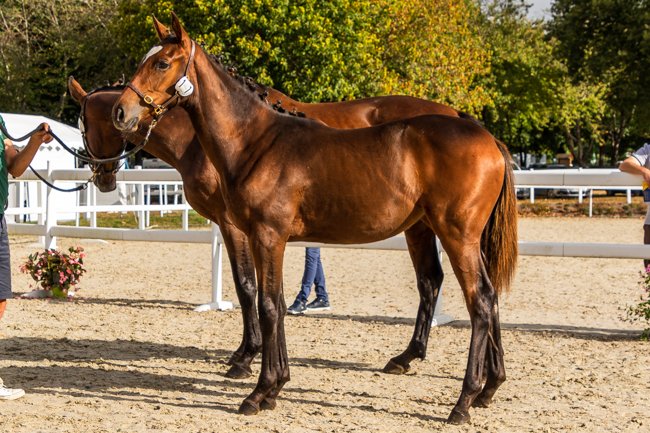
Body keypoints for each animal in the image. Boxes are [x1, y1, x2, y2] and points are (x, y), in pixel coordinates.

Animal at [69, 61, 475, 377]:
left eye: (84, 126)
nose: (102, 178)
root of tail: (457, 118)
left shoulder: (235, 225)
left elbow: (247, 285)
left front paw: (247, 355)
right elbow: (254, 288)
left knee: (433, 282)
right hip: (419, 225)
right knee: (430, 281)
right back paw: (408, 356)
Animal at [112, 14, 518, 424]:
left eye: (162, 63)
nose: (121, 112)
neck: (256, 142)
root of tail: (488, 138)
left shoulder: (265, 236)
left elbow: (267, 306)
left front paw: (259, 391)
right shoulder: (265, 239)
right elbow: (274, 302)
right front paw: (275, 387)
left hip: (456, 236)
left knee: (480, 302)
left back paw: (463, 401)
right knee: (485, 295)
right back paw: (487, 388)